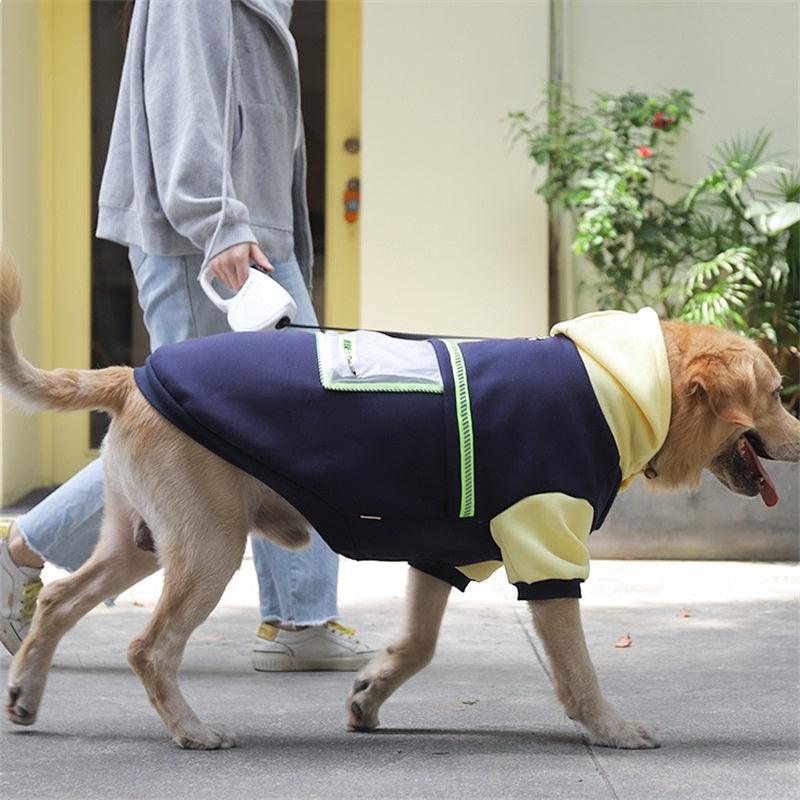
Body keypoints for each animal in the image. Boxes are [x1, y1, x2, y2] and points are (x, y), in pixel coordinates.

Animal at [0, 252, 796, 752]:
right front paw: (609, 727)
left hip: (140, 541)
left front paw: (371, 693)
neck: (620, 385)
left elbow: (418, 643)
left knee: (60, 601)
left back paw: (26, 690)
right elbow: (576, 669)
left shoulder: (442, 552)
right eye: (777, 393)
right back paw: (191, 729)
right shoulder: (544, 544)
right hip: (207, 548)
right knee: (149, 647)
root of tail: (133, 376)